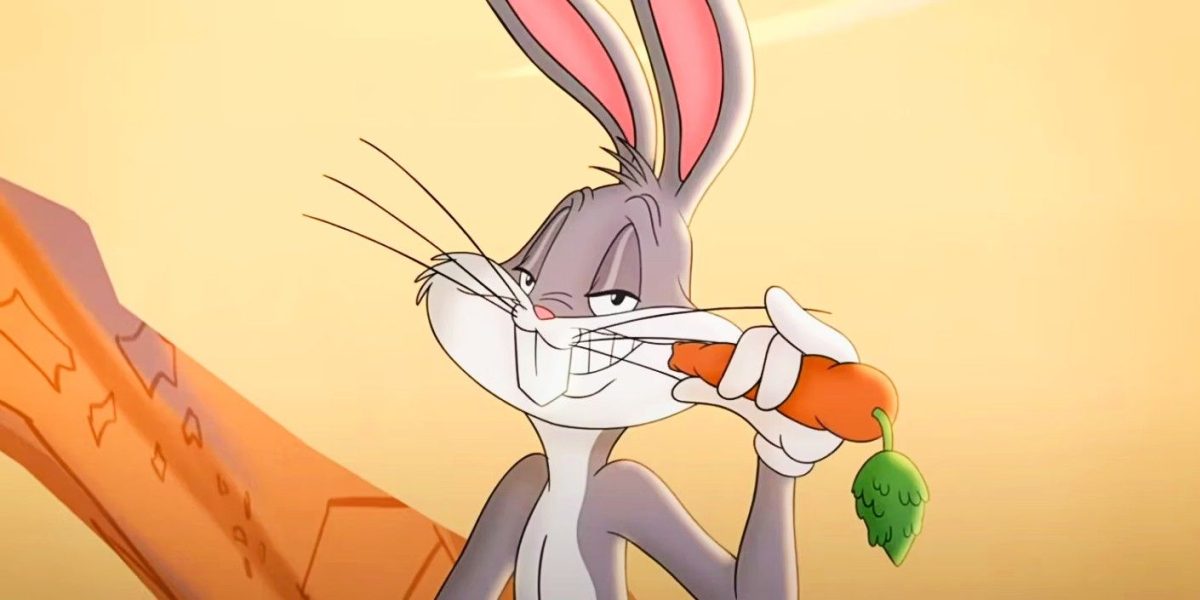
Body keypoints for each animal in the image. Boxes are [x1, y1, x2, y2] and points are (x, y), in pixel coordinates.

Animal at [412, 1, 862, 598]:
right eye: (528, 276)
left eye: (616, 298)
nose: (542, 311)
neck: (569, 470)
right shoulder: (519, 481)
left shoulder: (630, 489)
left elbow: (744, 587)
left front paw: (786, 408)